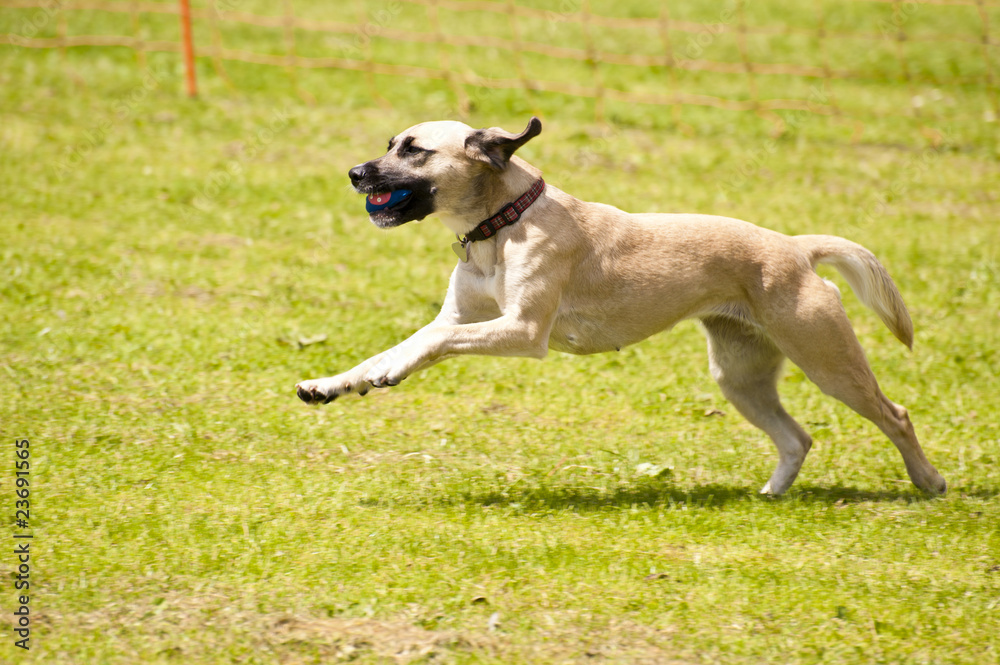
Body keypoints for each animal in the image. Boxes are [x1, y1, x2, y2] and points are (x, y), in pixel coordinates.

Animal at [294, 116, 944, 496]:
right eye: (389, 145)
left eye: (415, 150)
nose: (354, 173)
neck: (504, 221)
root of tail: (796, 249)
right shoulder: (459, 318)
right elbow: (400, 345)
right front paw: (335, 383)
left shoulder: (523, 330)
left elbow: (426, 345)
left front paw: (388, 372)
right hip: (740, 376)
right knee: (796, 438)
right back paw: (773, 493)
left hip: (827, 359)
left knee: (896, 415)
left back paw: (928, 481)